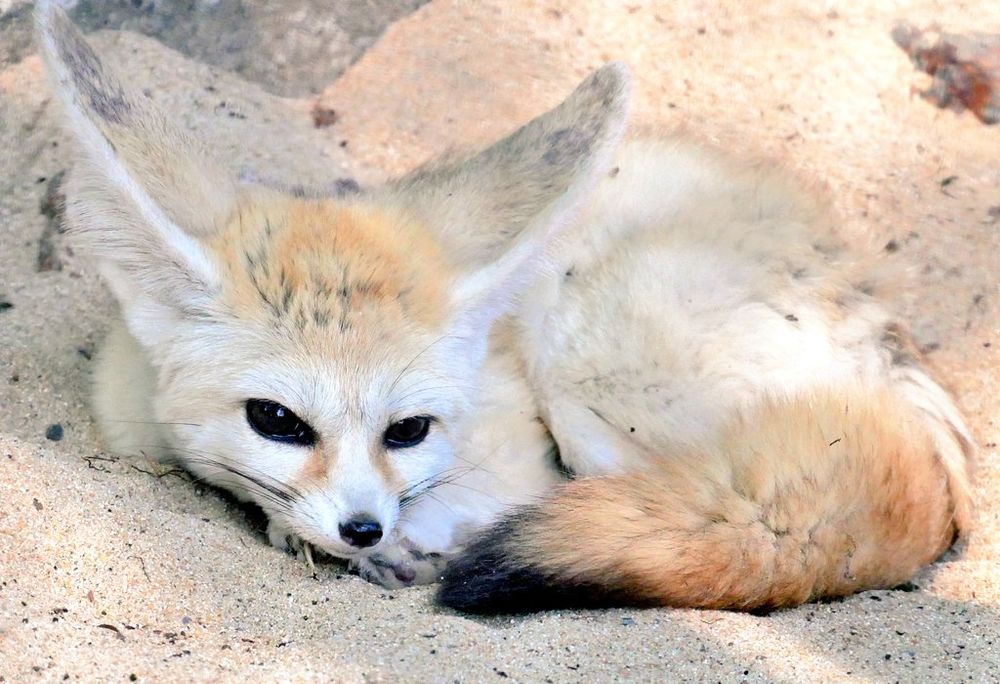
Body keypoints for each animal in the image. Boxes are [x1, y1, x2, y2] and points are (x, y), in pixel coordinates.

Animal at [38, 2, 974, 612]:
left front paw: (400, 540)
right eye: (277, 419)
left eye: (408, 430)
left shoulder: (516, 442)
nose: (364, 528)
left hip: (587, 355)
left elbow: (493, 494)